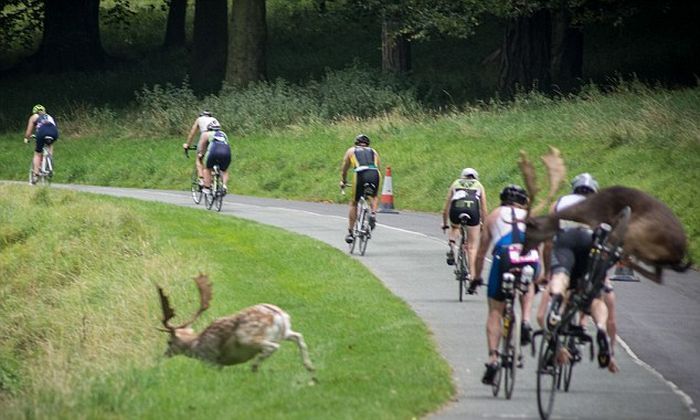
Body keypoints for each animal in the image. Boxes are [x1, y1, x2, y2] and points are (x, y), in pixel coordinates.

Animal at [156, 274, 315, 375]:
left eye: (169, 342)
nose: (163, 356)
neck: (195, 345)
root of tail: (279, 315)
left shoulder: (211, 359)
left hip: (247, 336)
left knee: (273, 346)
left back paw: (254, 367)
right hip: (285, 331)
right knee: (299, 337)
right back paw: (310, 367)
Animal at [518, 146, 691, 283]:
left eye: (528, 231)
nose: (522, 251)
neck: (584, 212)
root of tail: (679, 253)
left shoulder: (597, 221)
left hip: (637, 231)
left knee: (630, 257)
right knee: (657, 276)